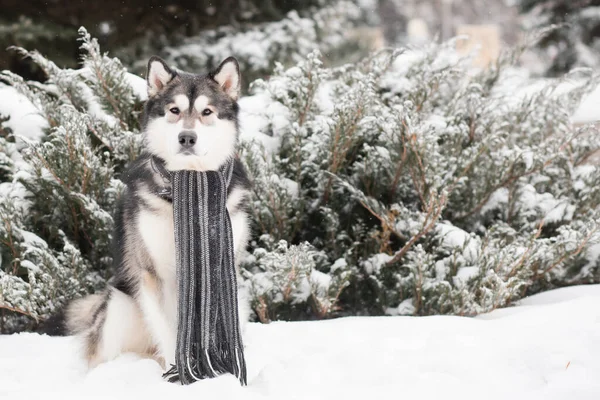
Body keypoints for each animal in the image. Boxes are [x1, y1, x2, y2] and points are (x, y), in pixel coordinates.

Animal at [44, 55, 251, 368]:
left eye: (207, 112)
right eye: (174, 110)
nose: (186, 138)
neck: (189, 184)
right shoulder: (153, 274)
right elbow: (169, 332)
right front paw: (180, 371)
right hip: (119, 306)